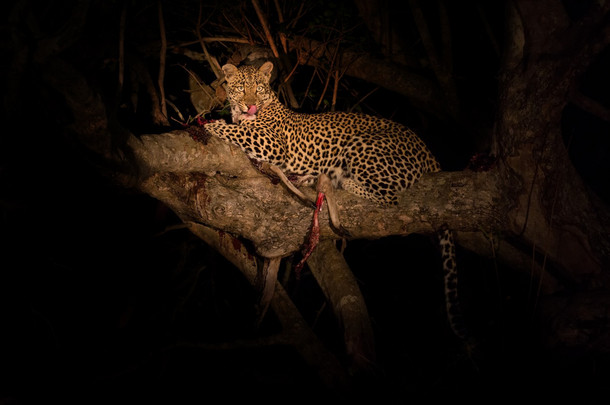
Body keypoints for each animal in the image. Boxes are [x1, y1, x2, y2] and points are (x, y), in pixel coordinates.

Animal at [202, 61, 464, 340]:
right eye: (241, 88)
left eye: (258, 89)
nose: (249, 105)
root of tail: (426, 148)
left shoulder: (273, 143)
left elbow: (237, 131)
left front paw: (210, 125)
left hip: (363, 146)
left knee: (390, 197)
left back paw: (342, 181)